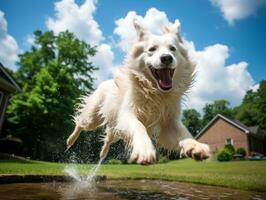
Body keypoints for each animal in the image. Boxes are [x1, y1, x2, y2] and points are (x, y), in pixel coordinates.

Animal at [66, 19, 210, 165]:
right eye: (152, 49)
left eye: (172, 49)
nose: (166, 58)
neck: (156, 93)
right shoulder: (127, 114)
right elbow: (139, 126)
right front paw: (144, 150)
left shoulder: (169, 122)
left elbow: (184, 134)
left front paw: (195, 146)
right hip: (93, 118)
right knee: (80, 123)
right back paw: (70, 141)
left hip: (116, 130)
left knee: (108, 140)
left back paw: (102, 154)